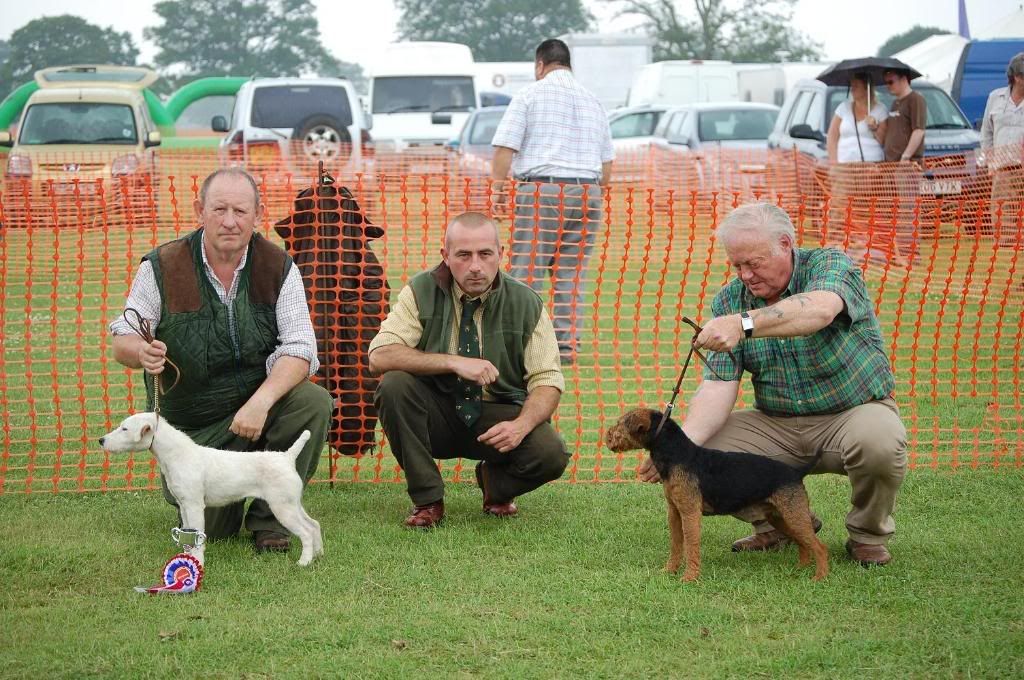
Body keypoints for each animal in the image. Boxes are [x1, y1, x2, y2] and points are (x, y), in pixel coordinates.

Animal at [98, 411, 323, 565]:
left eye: (125, 429)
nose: (101, 440)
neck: (177, 454)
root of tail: (287, 457)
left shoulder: (194, 506)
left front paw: (198, 561)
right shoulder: (185, 506)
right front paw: (186, 556)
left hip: (282, 507)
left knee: (305, 532)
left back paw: (304, 562)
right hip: (293, 504)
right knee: (314, 525)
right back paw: (319, 555)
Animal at [602, 405, 827, 581]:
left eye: (620, 423)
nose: (607, 435)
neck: (678, 455)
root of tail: (796, 472)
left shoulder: (690, 513)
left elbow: (691, 544)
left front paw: (690, 577)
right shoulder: (674, 512)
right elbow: (676, 544)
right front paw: (669, 571)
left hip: (793, 514)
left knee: (819, 546)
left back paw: (819, 577)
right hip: (780, 517)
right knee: (803, 543)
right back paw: (800, 569)